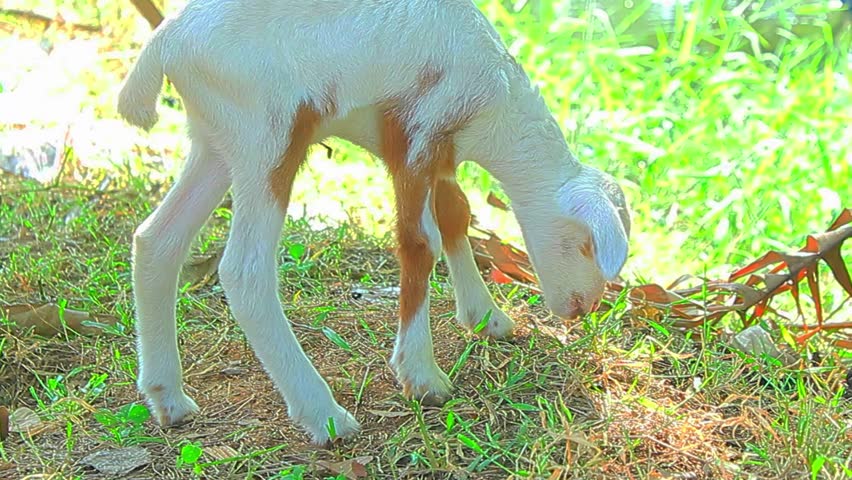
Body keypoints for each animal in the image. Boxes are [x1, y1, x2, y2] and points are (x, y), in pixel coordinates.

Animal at [117, 0, 631, 445]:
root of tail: (166, 41)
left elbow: (456, 214)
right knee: (244, 271)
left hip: (216, 139)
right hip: (266, 134)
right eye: (586, 245)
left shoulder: (440, 151)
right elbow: (419, 244)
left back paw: (168, 398)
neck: (495, 110)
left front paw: (487, 318)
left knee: (157, 240)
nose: (584, 308)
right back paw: (323, 414)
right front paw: (421, 376)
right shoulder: (417, 135)